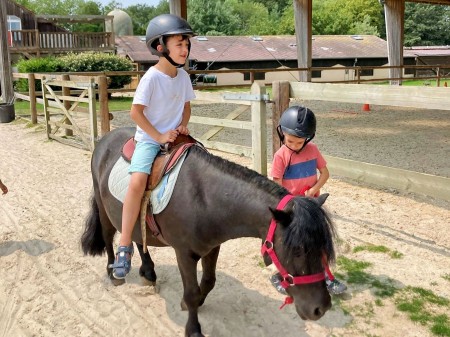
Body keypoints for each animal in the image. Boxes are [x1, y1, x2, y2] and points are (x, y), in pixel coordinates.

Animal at [81, 126, 336, 336]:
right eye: (297, 250)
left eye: (324, 248)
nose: (321, 308)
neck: (204, 198)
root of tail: (105, 138)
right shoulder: (184, 253)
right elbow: (192, 292)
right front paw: (193, 328)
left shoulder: (212, 248)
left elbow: (209, 281)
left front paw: (186, 304)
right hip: (105, 209)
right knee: (108, 236)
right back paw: (114, 270)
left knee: (137, 237)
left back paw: (148, 272)